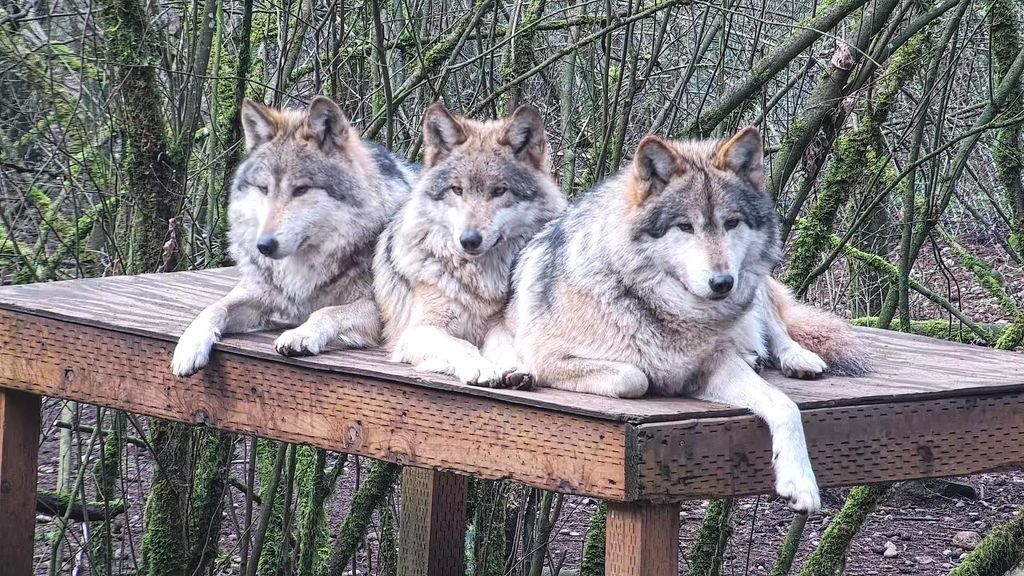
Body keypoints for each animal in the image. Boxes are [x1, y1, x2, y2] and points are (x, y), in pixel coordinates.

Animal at [170, 96, 413, 377]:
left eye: (301, 190)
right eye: (264, 189)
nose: (264, 245)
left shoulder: (380, 311)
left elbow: (327, 312)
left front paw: (301, 334)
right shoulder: (261, 292)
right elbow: (214, 307)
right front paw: (189, 345)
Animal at [373, 103, 567, 387]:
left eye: (499, 191)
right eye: (457, 190)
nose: (469, 240)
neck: (479, 282)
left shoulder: (499, 325)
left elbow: (504, 346)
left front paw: (515, 367)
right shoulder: (418, 331)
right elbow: (460, 344)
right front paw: (481, 367)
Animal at [509, 127, 867, 512]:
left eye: (731, 223)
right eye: (685, 227)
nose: (722, 282)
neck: (665, 310)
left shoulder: (715, 364)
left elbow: (784, 405)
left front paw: (800, 482)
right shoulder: (546, 358)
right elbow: (635, 376)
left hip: (755, 287)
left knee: (776, 326)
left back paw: (796, 358)